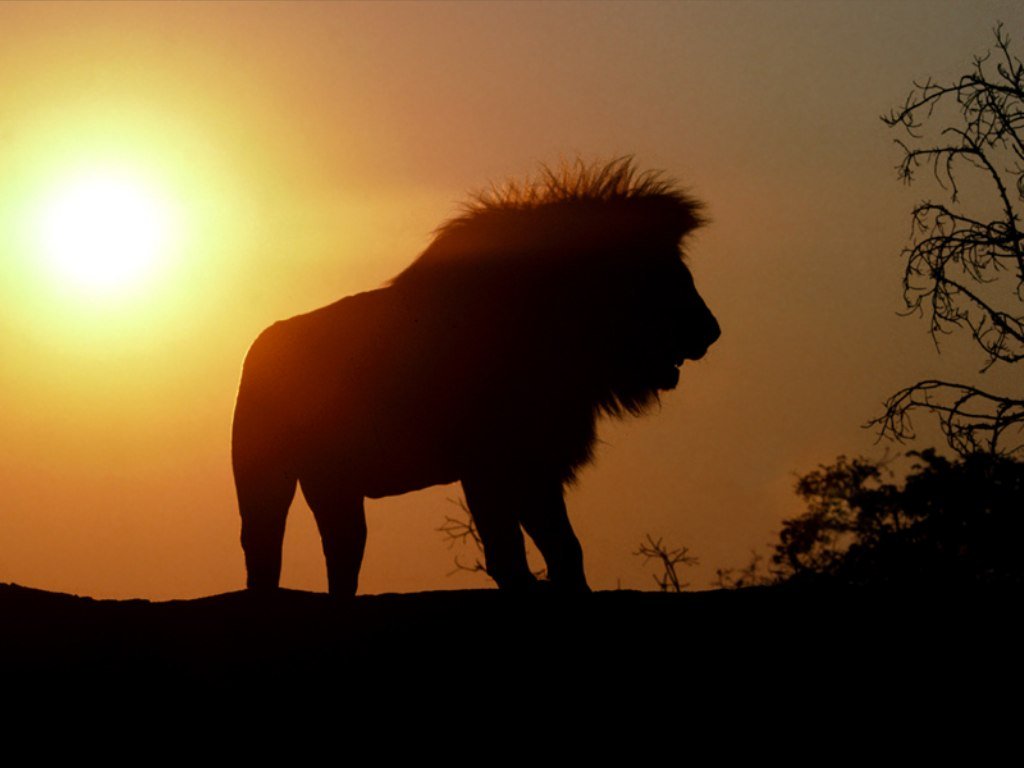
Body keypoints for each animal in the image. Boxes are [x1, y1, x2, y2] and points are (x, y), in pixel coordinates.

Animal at [232, 158, 720, 595]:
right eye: (663, 273)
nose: (711, 330)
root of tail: (260, 344)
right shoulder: (489, 463)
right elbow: (508, 548)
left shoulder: (538, 461)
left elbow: (563, 544)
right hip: (266, 475)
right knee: (265, 550)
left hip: (334, 483)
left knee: (342, 553)